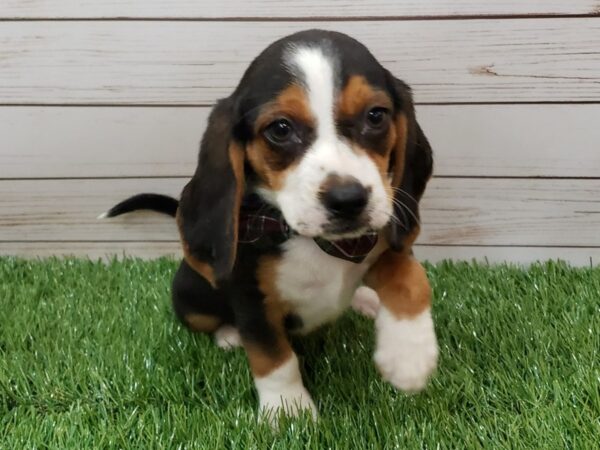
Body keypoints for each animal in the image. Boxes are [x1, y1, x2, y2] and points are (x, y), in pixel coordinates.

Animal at [104, 29, 436, 420]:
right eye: (280, 129)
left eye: (376, 116)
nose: (348, 200)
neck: (310, 240)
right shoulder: (252, 300)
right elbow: (274, 356)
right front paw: (289, 410)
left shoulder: (381, 242)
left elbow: (411, 278)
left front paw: (409, 355)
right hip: (191, 297)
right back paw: (229, 335)